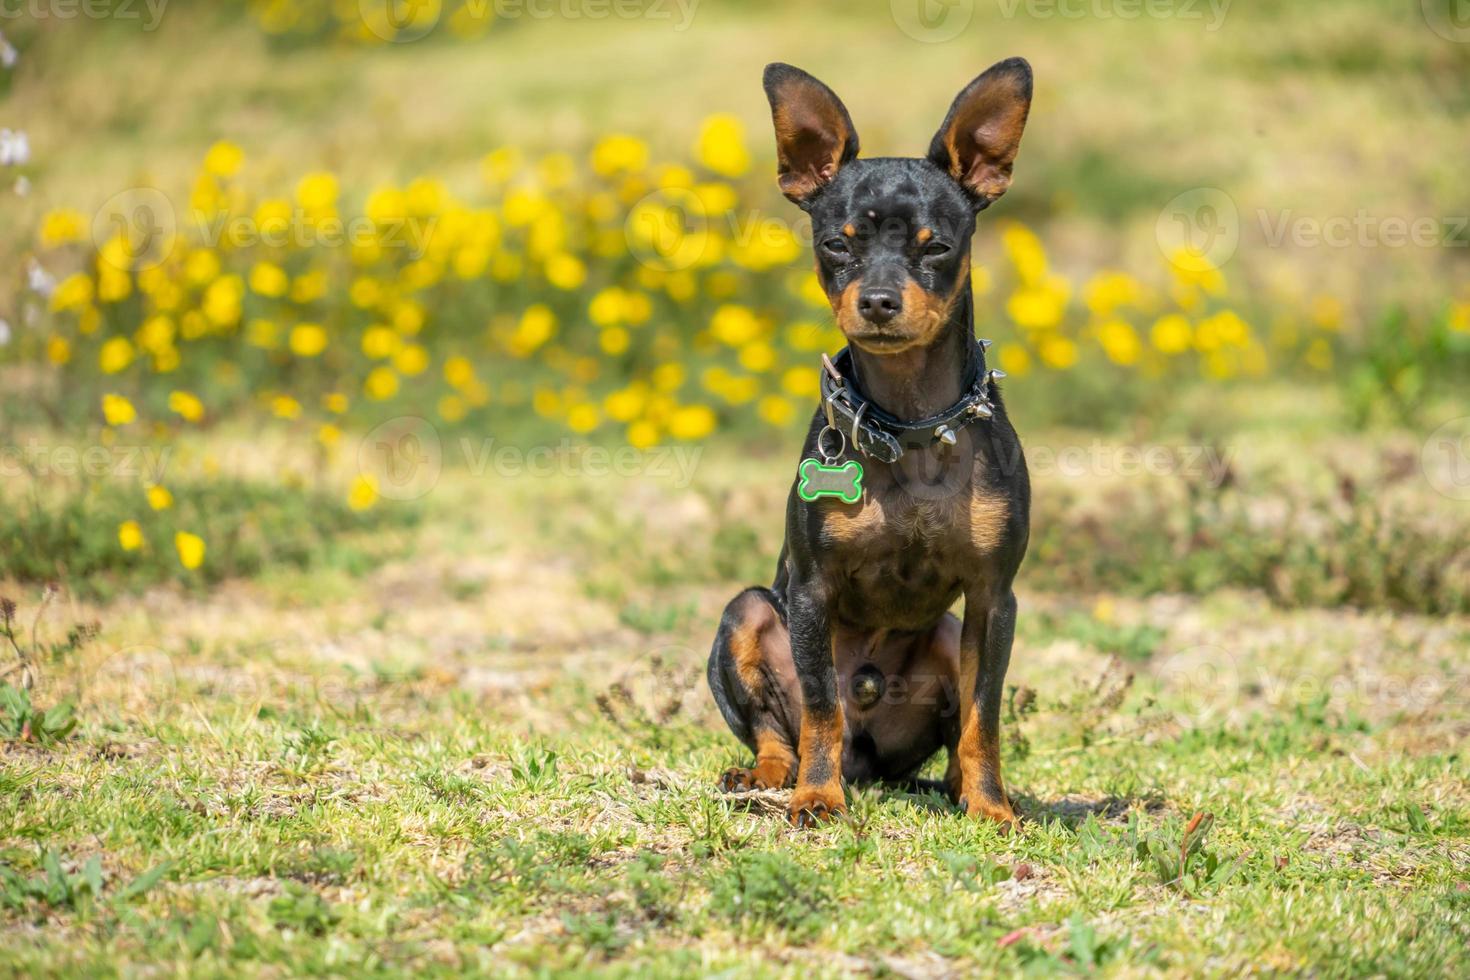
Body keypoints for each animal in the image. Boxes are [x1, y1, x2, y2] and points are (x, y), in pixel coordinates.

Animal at [702, 59, 1029, 828]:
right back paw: (771, 776)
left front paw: (991, 806)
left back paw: (957, 788)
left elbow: (984, 716)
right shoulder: (812, 592)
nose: (879, 300)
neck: (907, 425)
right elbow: (821, 708)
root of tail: (870, 764)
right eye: (836, 245)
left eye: (936, 246)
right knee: (780, 728)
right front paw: (817, 798)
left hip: (947, 633)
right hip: (748, 612)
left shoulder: (993, 598)